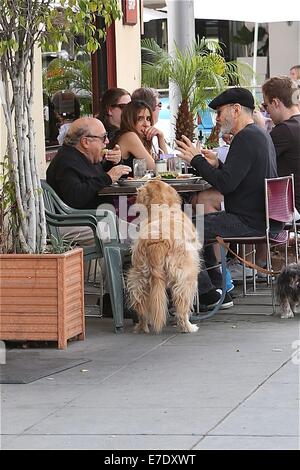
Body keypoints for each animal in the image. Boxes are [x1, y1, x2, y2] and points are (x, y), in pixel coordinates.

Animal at [126, 180, 202, 334]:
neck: (162, 207)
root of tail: (157, 241)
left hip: (138, 277)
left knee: (141, 306)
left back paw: (142, 326)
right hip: (187, 278)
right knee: (182, 308)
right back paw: (188, 327)